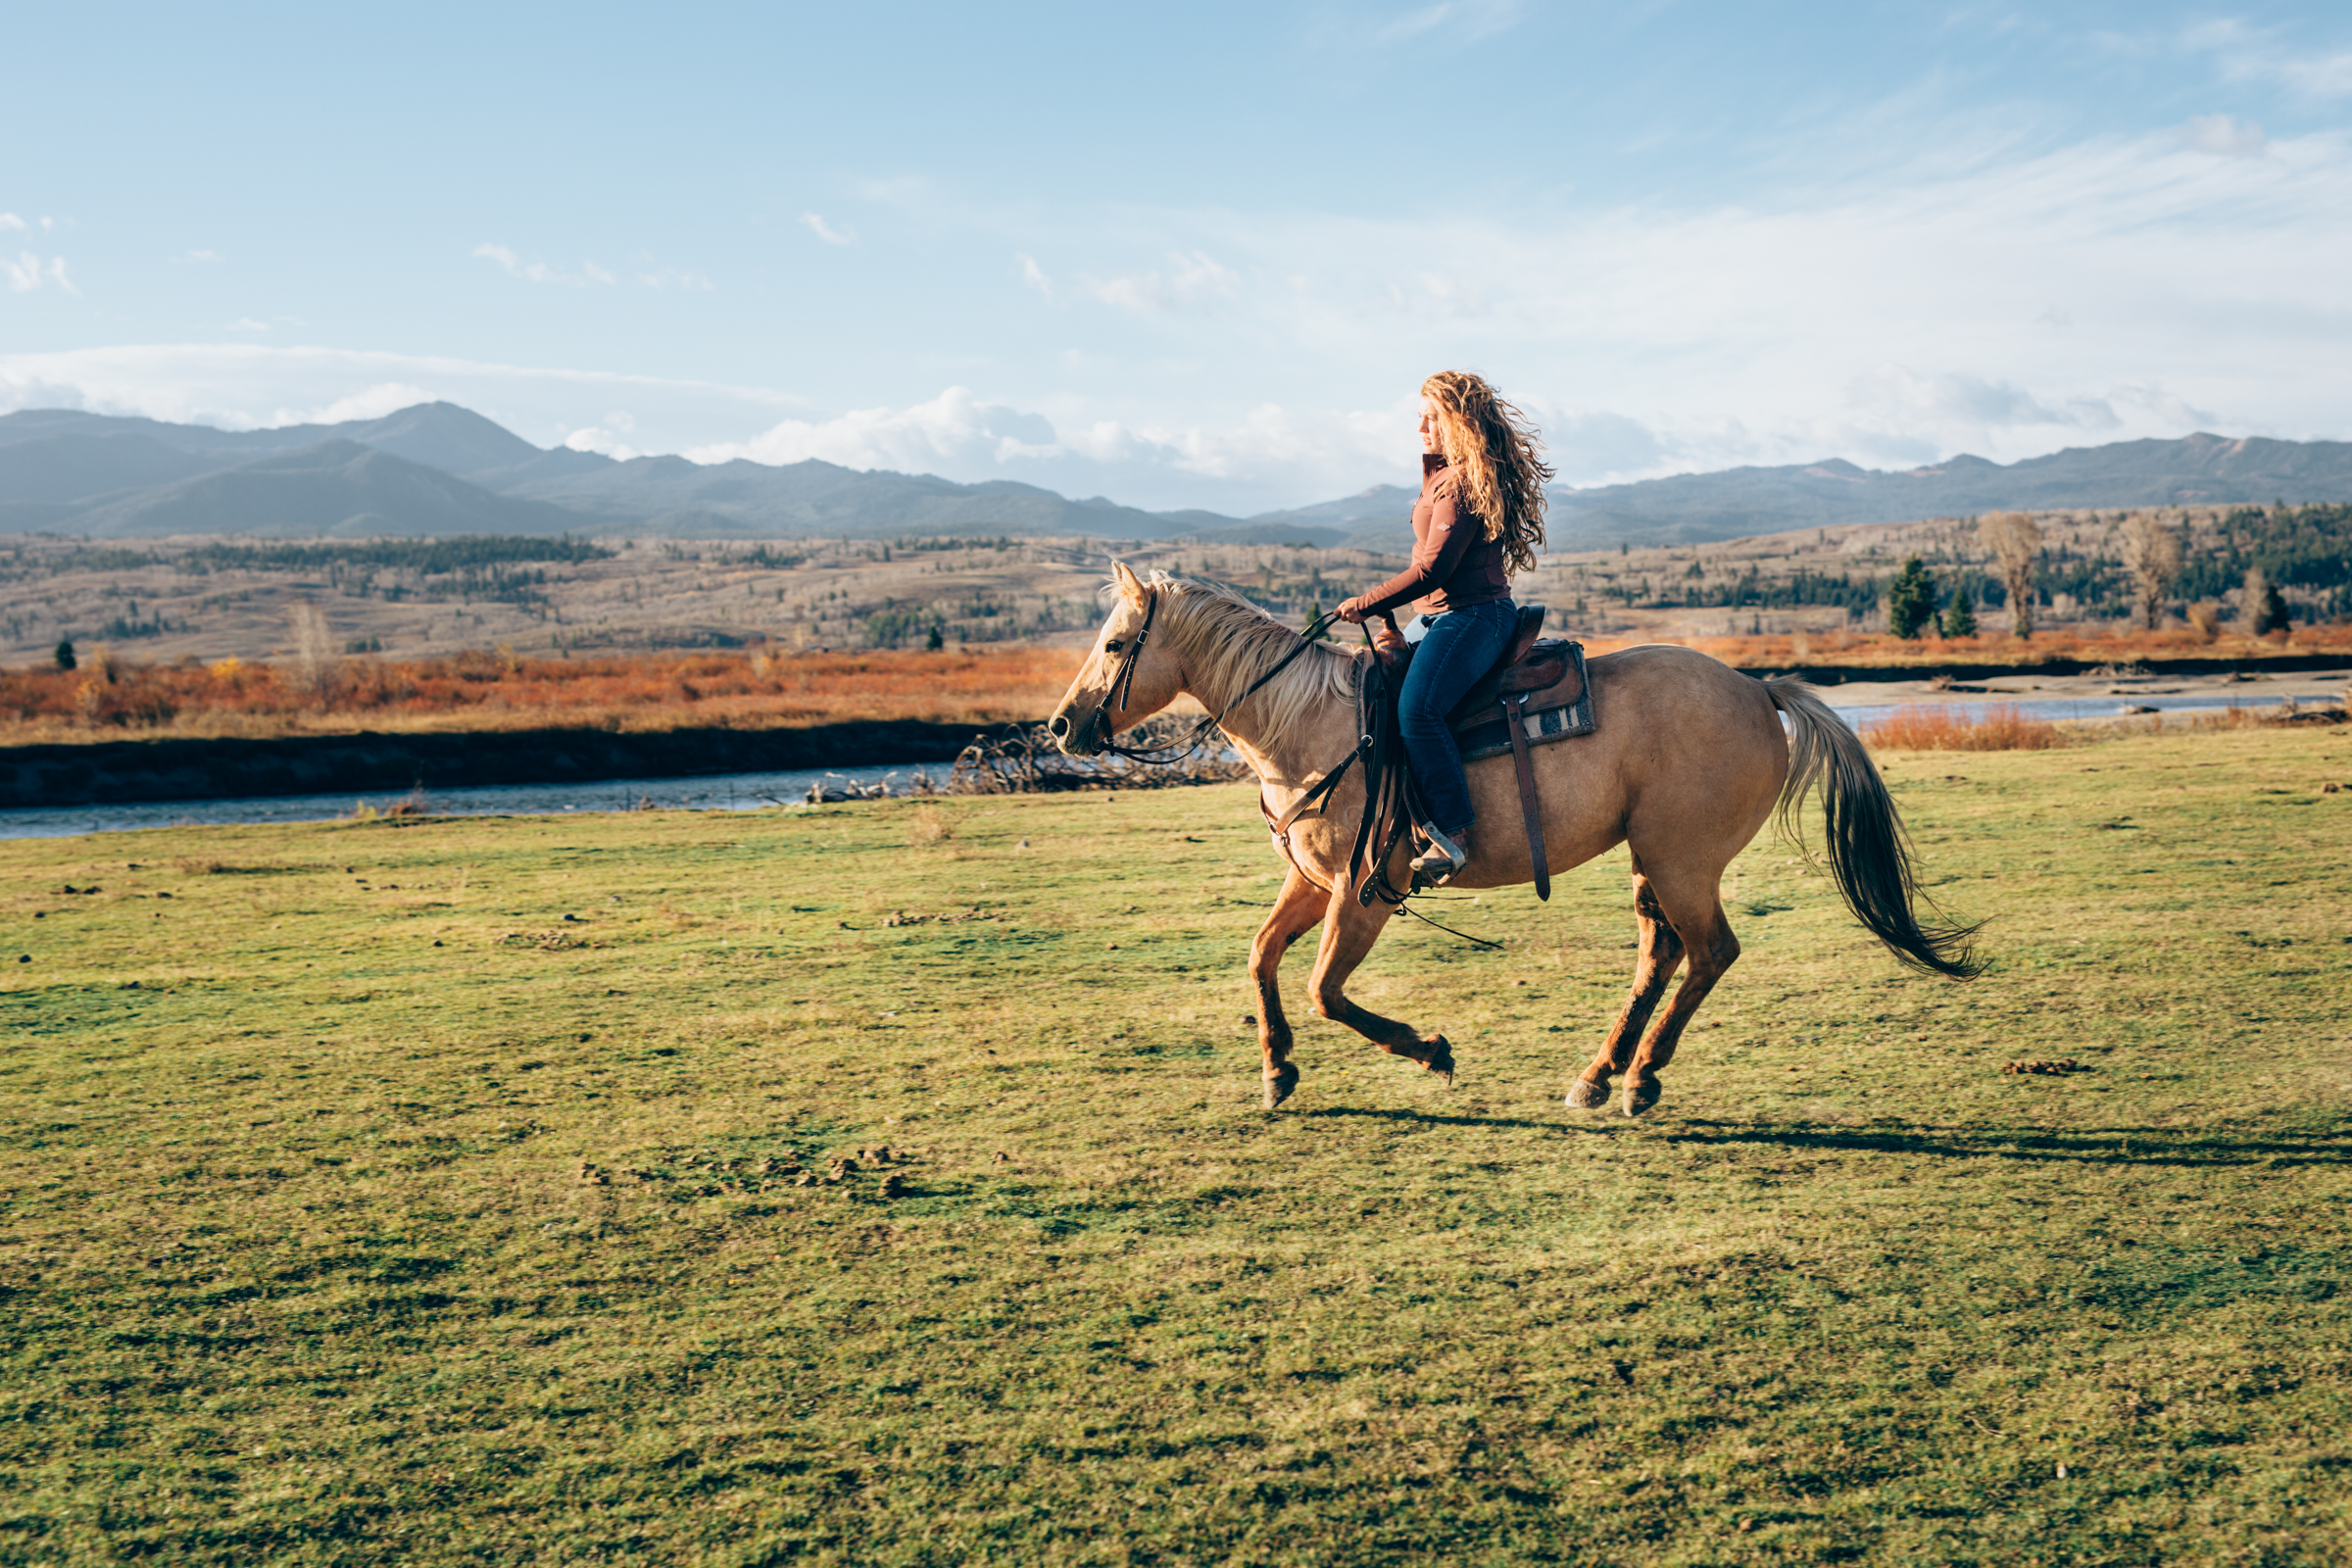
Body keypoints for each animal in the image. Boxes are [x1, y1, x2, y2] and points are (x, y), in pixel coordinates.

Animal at [1058, 564, 1976, 1114]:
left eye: (1114, 642)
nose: (1063, 725)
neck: (1313, 726)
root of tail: (1760, 690)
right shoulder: (1314, 882)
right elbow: (1260, 957)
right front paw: (1277, 1069)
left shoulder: (1366, 889)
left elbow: (1324, 989)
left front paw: (1428, 1051)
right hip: (1654, 861)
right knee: (1663, 954)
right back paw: (1599, 1076)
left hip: (1683, 860)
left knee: (1709, 952)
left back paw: (1642, 1078)